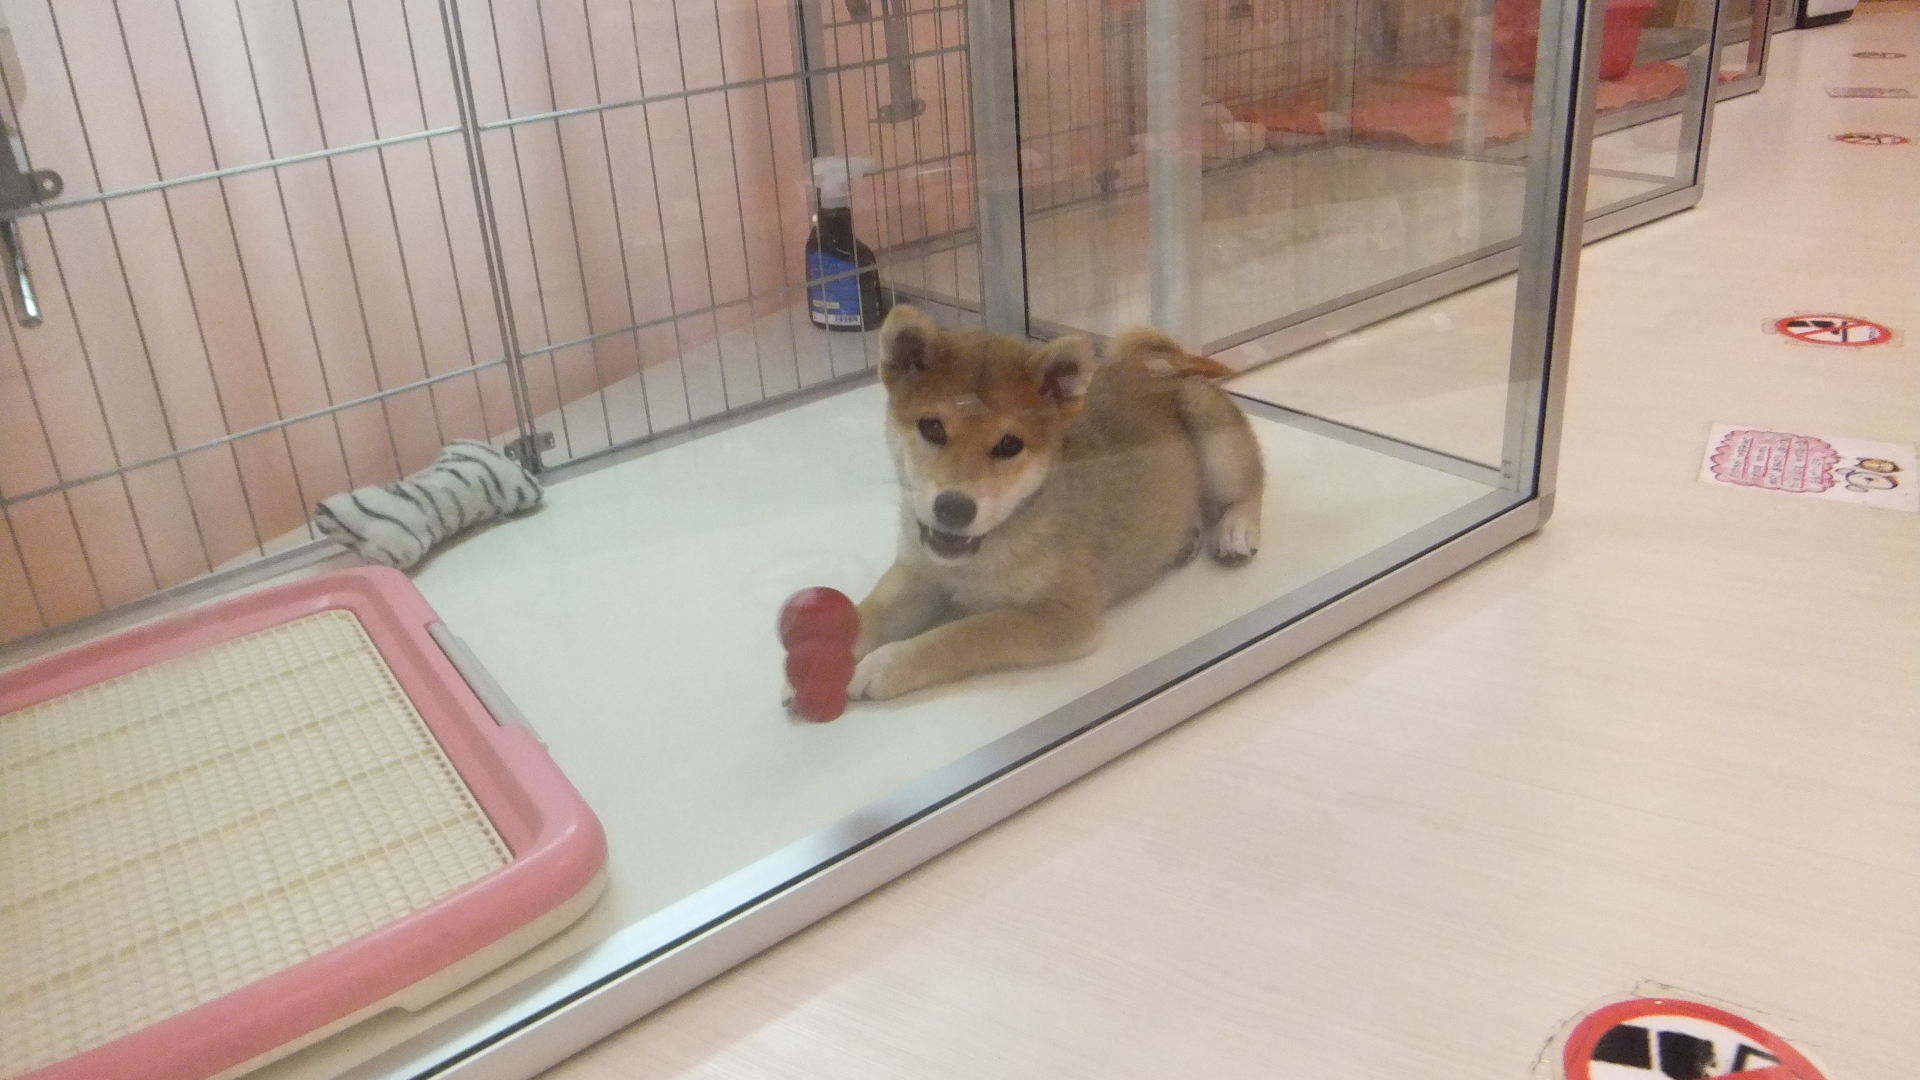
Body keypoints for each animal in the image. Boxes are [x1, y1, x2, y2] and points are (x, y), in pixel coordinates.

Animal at [835, 304, 1265, 703]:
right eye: (932, 427)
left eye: (1010, 444)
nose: (953, 508)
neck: (990, 547)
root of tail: (1152, 368)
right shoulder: (918, 575)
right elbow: (864, 614)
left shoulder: (1065, 615)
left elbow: (964, 634)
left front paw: (887, 663)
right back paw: (1184, 541)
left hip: (1211, 430)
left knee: (1250, 485)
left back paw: (1235, 529)